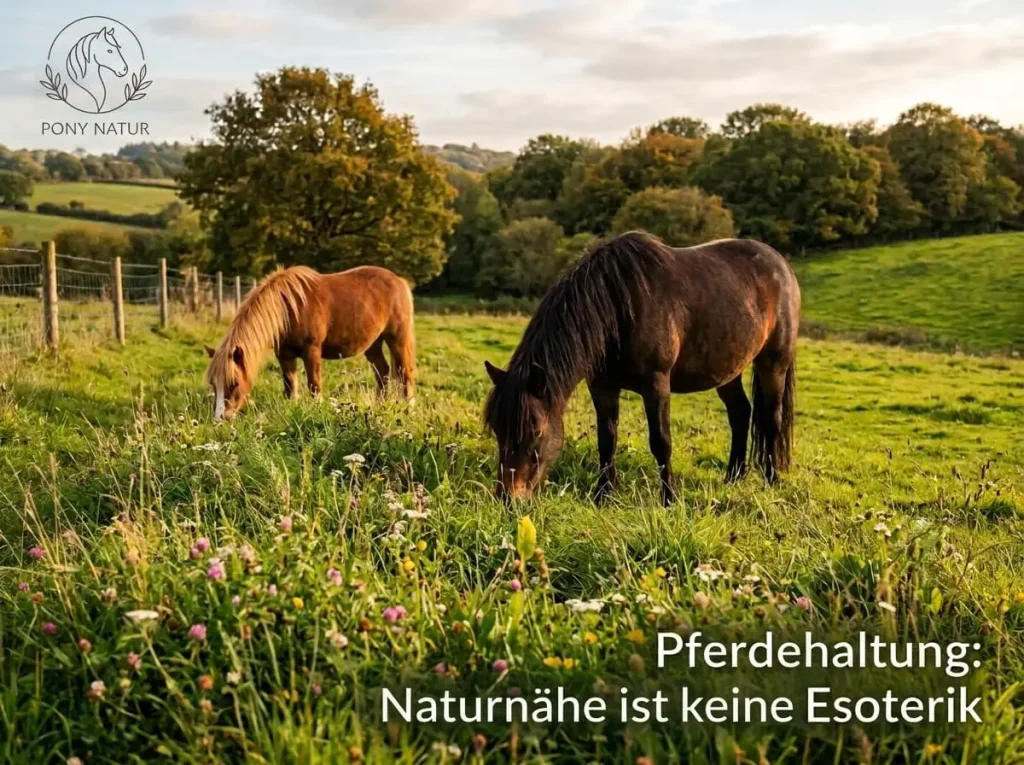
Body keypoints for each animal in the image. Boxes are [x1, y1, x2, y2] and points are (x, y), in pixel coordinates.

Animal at [204, 265, 416, 421]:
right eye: (214, 384)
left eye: (234, 383)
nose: (220, 419)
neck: (289, 309)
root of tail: (399, 281)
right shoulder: (285, 355)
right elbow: (290, 388)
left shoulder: (311, 350)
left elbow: (314, 386)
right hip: (373, 344)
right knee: (382, 371)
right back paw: (380, 406)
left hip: (397, 339)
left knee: (404, 374)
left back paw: (408, 410)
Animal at [483, 231, 800, 506]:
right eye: (498, 429)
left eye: (535, 431)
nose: (508, 498)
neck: (618, 307)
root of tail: (782, 265)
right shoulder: (602, 386)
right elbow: (606, 440)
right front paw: (604, 495)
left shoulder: (656, 384)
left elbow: (661, 441)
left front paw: (669, 500)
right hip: (727, 369)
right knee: (740, 413)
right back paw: (733, 477)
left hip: (773, 363)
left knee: (771, 419)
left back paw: (771, 480)